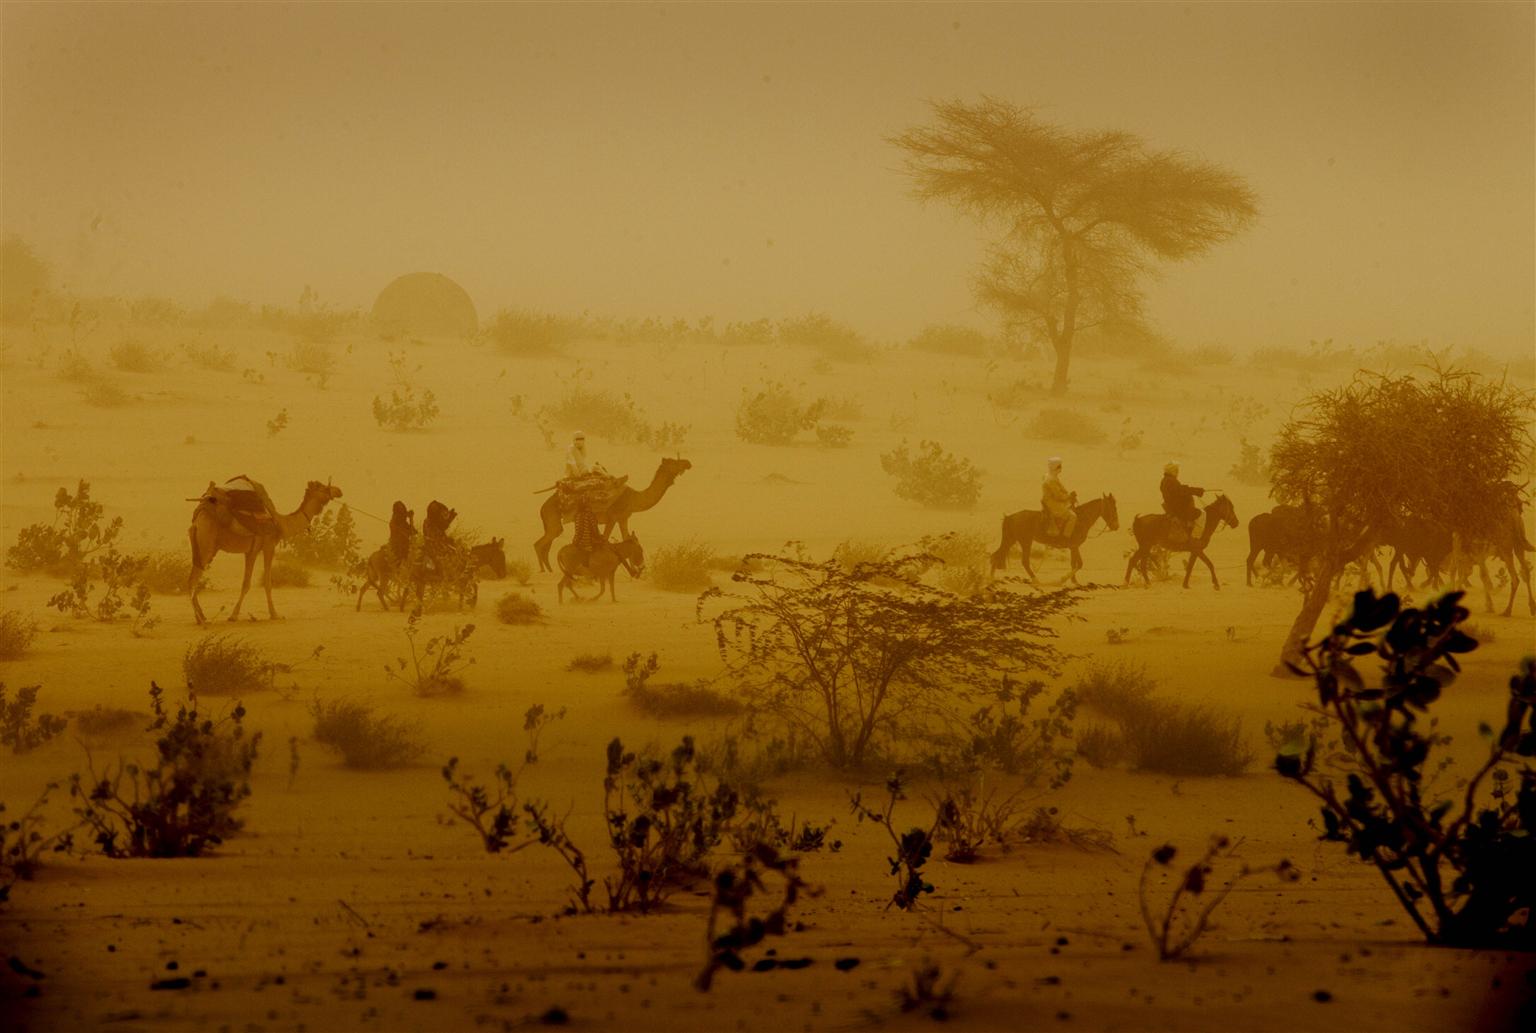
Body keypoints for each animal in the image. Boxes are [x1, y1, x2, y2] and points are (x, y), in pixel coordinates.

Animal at [188, 475, 342, 620]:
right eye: (322, 486)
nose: (339, 490)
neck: (281, 523)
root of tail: (198, 517)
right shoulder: (268, 545)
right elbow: (265, 583)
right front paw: (274, 614)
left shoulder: (250, 550)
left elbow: (247, 583)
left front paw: (235, 615)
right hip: (206, 544)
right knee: (193, 580)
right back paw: (200, 619)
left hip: (202, 547)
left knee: (193, 576)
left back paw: (201, 616)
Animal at [534, 460, 691, 570]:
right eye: (675, 461)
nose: (688, 463)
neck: (634, 498)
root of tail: (543, 506)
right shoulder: (613, 517)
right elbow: (605, 540)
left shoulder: (623, 517)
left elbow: (626, 538)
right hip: (552, 516)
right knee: (541, 543)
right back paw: (544, 571)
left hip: (552, 520)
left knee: (546, 542)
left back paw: (550, 570)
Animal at [989, 488, 1124, 580]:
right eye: (1112, 508)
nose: (1116, 526)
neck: (1080, 519)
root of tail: (1010, 517)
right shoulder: (1074, 546)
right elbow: (1079, 564)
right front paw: (1063, 580)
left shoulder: (1074, 547)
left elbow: (1074, 564)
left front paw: (1074, 582)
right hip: (1025, 541)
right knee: (1024, 562)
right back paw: (1037, 582)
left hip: (1011, 539)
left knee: (996, 556)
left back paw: (991, 580)